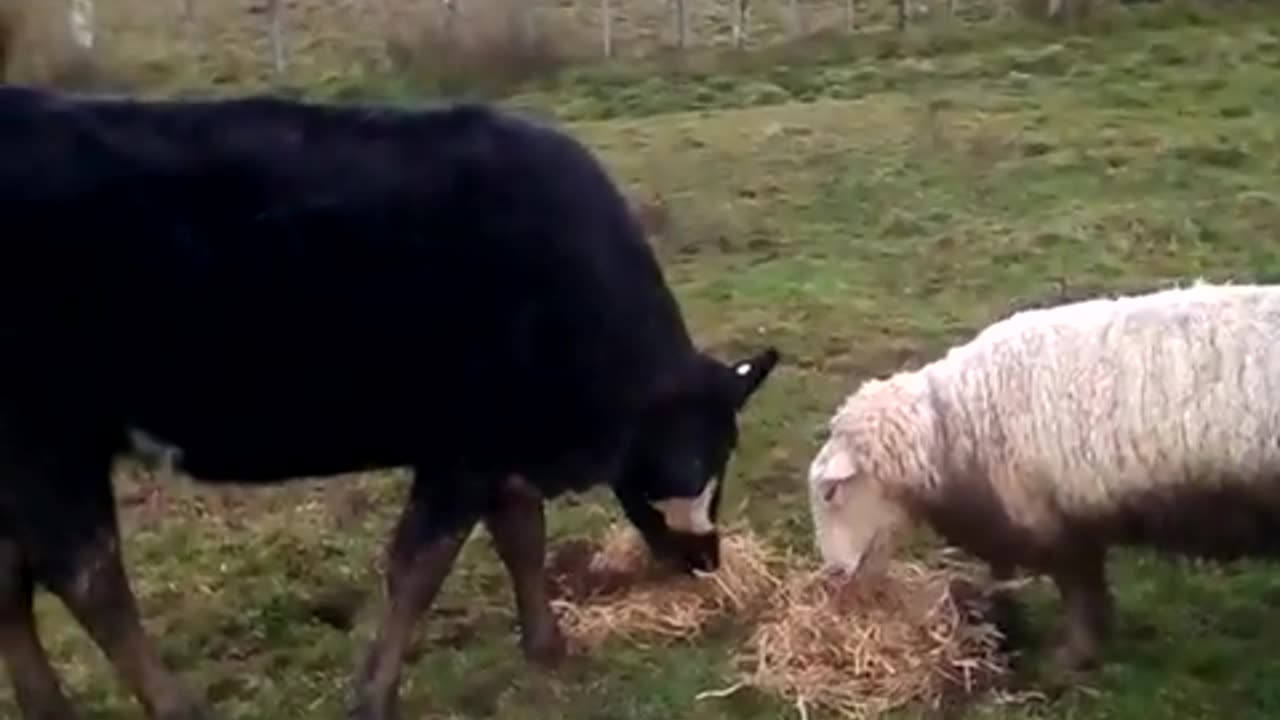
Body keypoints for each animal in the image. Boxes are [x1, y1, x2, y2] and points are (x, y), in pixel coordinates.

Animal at [808, 278, 1280, 671]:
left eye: (831, 493)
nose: (833, 581)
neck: (957, 423)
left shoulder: (1060, 524)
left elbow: (1080, 595)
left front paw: (1073, 658)